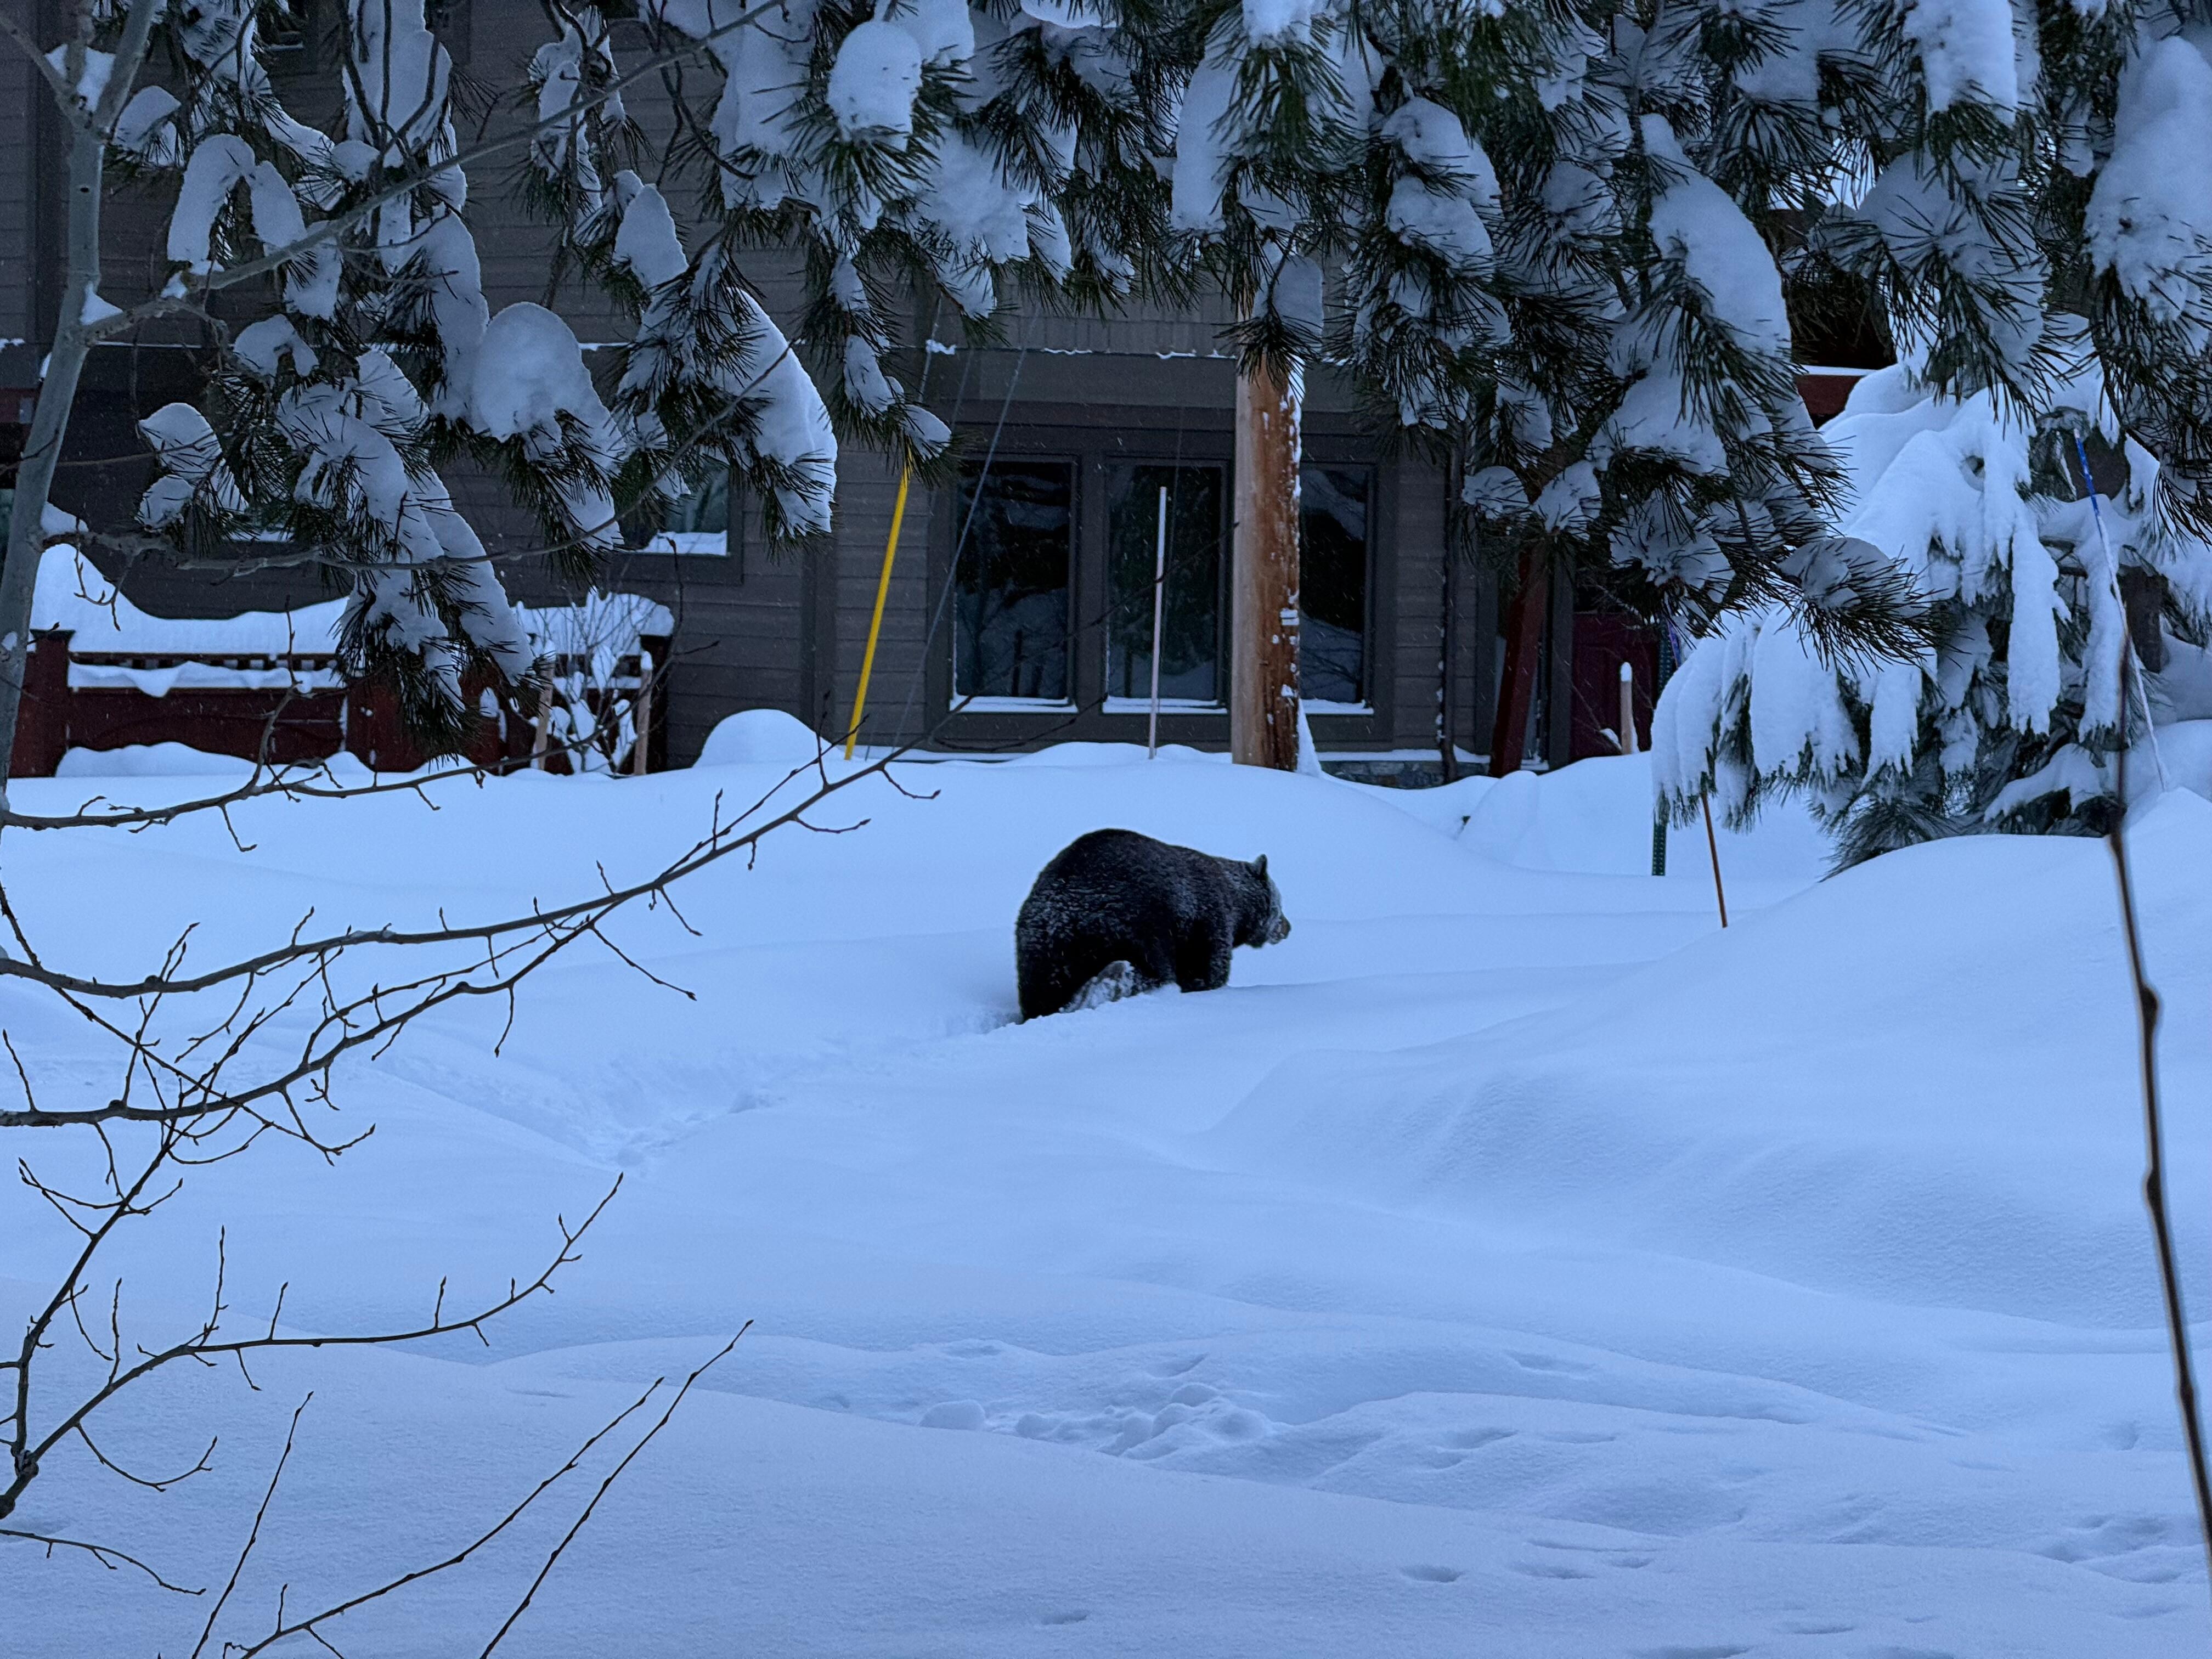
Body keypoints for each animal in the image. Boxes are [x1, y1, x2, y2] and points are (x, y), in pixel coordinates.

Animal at [1015, 828, 1291, 1020]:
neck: (1238, 908)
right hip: (1133, 923)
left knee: (1041, 994)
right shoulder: (1208, 920)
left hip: (1040, 951)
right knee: (1150, 968)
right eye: (1281, 904)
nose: (1287, 927)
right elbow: (1209, 969)